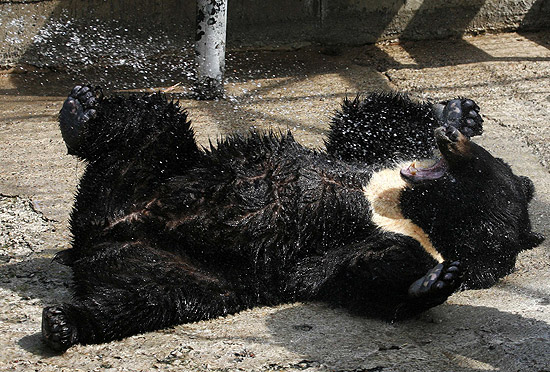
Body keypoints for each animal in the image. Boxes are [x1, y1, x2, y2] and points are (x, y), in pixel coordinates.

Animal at [41, 85, 544, 352]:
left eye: (475, 170)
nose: (451, 141)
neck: (403, 207)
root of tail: (102, 231)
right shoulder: (374, 163)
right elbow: (363, 127)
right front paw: (458, 111)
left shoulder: (347, 245)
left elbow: (355, 274)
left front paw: (432, 280)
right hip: (155, 174)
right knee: (151, 120)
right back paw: (80, 112)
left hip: (182, 269)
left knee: (149, 299)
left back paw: (66, 323)